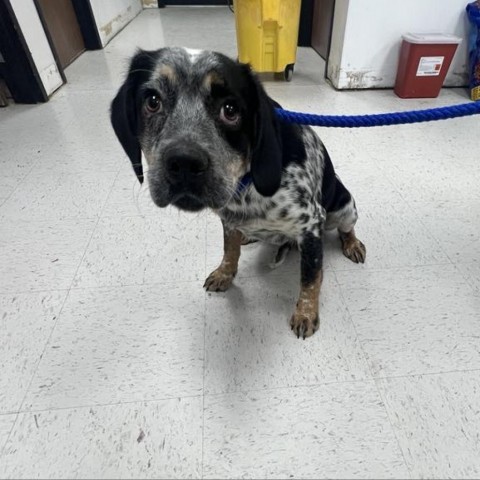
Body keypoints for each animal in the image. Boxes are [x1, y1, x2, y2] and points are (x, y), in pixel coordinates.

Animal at [112, 47, 366, 340]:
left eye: (230, 110)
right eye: (152, 101)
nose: (184, 163)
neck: (245, 188)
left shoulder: (311, 223)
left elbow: (310, 277)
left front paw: (306, 313)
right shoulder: (228, 219)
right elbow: (229, 250)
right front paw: (225, 273)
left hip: (344, 207)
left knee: (346, 228)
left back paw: (352, 244)